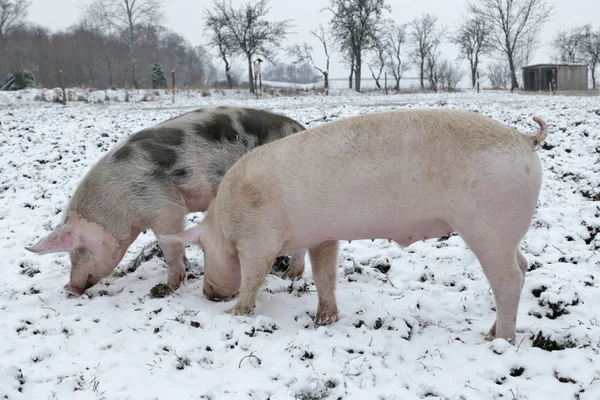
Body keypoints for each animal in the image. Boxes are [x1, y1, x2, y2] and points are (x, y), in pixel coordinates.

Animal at [164, 109, 548, 344]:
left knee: (508, 280)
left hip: (488, 228)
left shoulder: (257, 239)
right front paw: (323, 321)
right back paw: (493, 331)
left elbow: (253, 278)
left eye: (202, 249)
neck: (226, 221)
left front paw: (234, 314)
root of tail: (525, 139)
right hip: (506, 233)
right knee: (523, 265)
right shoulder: (322, 236)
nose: (208, 294)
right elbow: (325, 275)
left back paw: (497, 340)